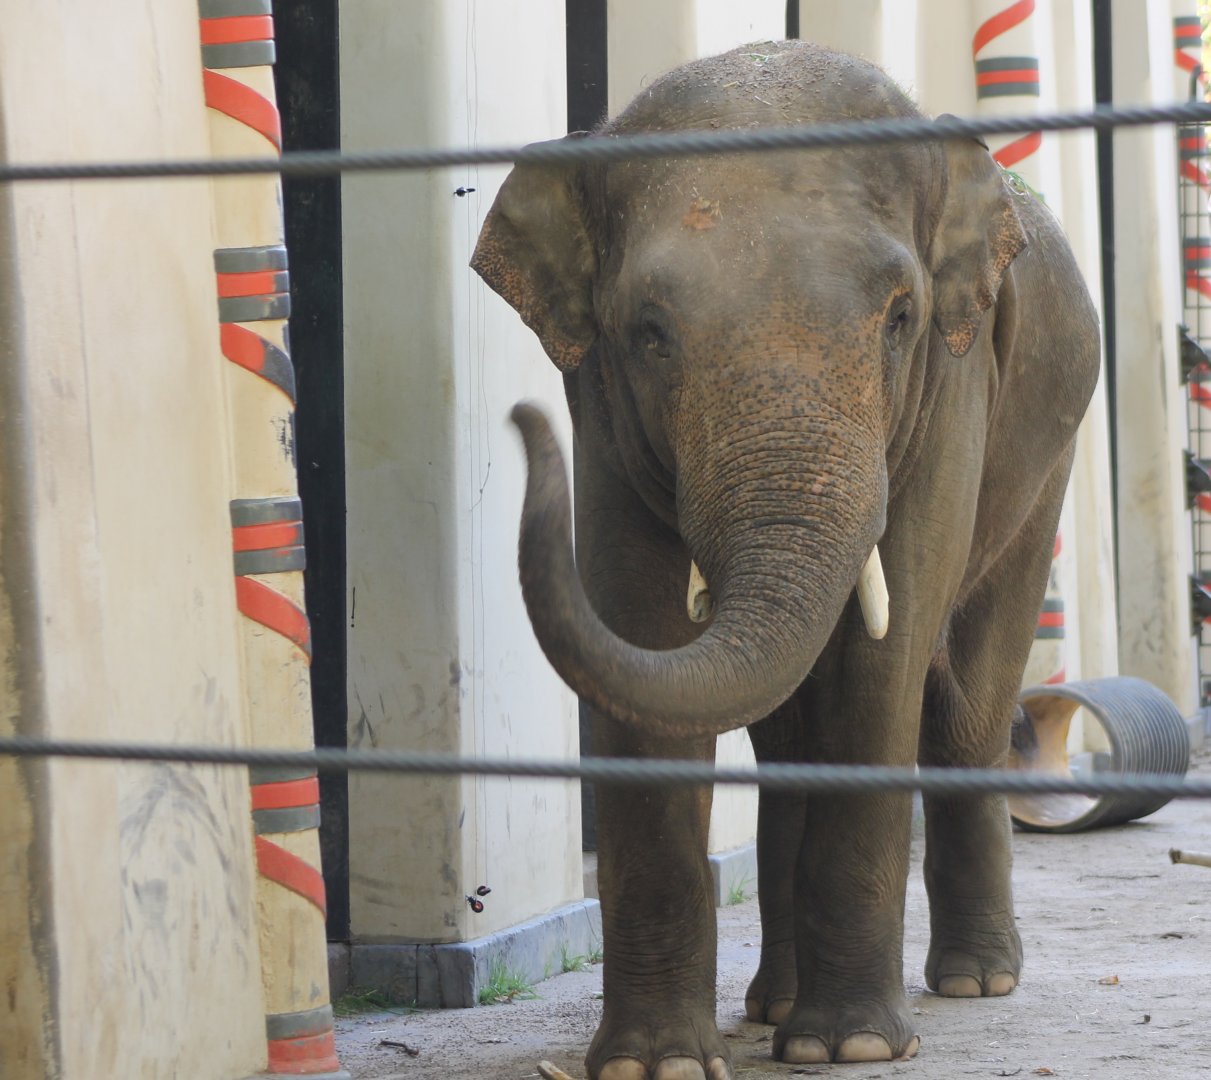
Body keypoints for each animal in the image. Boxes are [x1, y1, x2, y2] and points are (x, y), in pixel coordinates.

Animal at [471, 41, 1099, 1080]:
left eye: (898, 318)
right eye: (646, 332)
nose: (518, 425)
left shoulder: (953, 383)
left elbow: (882, 660)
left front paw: (851, 1047)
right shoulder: (599, 401)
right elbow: (640, 638)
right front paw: (656, 1064)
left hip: (1045, 461)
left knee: (966, 701)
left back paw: (975, 981)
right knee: (787, 734)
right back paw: (773, 1004)